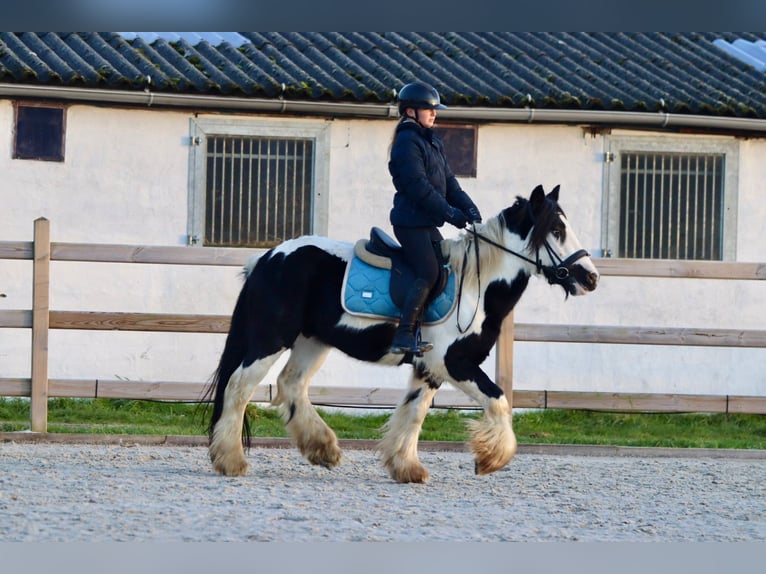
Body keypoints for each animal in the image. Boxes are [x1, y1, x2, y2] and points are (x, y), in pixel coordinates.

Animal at [207, 184, 604, 482]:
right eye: (556, 230)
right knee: (239, 387)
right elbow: (499, 400)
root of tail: (268, 257)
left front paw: (407, 467)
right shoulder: (453, 363)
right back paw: (230, 460)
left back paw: (324, 449)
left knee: (291, 384)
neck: (475, 286)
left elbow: (415, 411)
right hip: (271, 339)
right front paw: (490, 458)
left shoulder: (430, 367)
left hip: (312, 341)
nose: (591, 278)